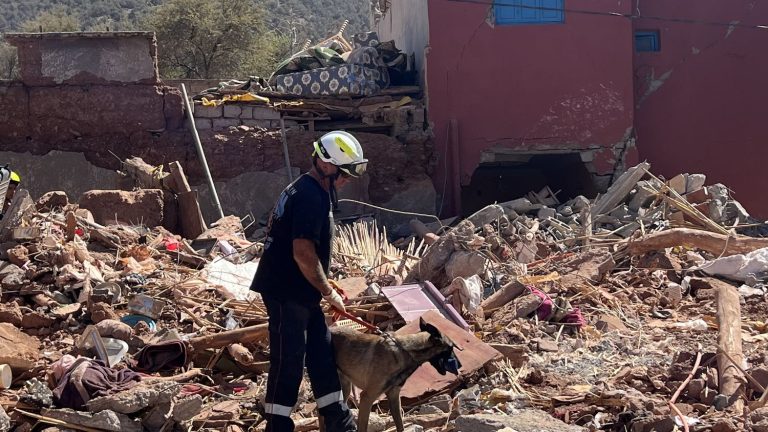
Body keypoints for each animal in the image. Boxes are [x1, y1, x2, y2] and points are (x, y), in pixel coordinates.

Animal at [328, 318, 460, 432]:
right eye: (450, 348)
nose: (459, 365)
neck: (406, 351)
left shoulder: (394, 396)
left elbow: (400, 424)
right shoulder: (367, 397)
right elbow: (362, 427)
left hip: (344, 390)